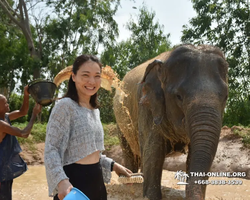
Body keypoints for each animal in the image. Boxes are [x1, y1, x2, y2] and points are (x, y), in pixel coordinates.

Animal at [113, 44, 229, 200]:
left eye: (226, 97)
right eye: (179, 96)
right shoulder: (147, 105)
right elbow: (153, 151)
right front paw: (151, 197)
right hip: (120, 120)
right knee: (130, 151)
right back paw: (129, 181)